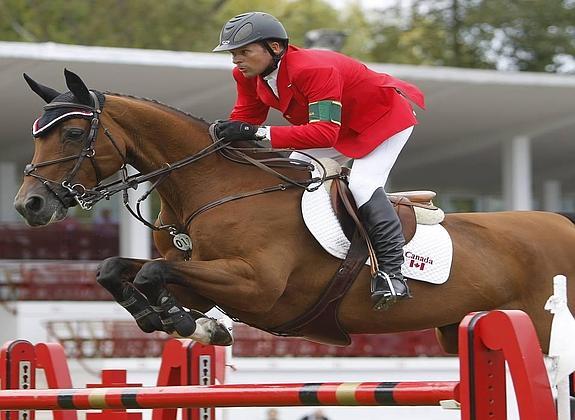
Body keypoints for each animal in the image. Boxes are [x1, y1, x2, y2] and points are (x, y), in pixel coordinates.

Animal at [13, 69, 575, 354]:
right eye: (37, 133)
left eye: (73, 133)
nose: (28, 205)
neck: (215, 187)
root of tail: (563, 223)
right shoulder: (199, 276)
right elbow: (118, 269)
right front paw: (183, 322)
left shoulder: (255, 285)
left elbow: (152, 272)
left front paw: (192, 324)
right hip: (456, 330)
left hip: (544, 329)